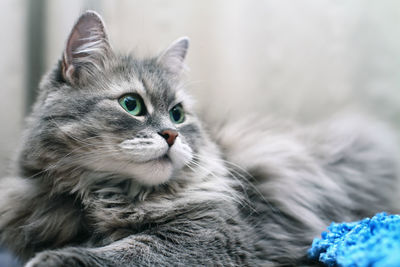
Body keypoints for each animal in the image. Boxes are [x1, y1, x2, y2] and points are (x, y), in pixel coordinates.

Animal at [0, 11, 400, 267]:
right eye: (131, 105)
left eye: (178, 114)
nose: (172, 134)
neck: (106, 192)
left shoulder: (206, 236)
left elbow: (130, 251)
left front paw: (57, 259)